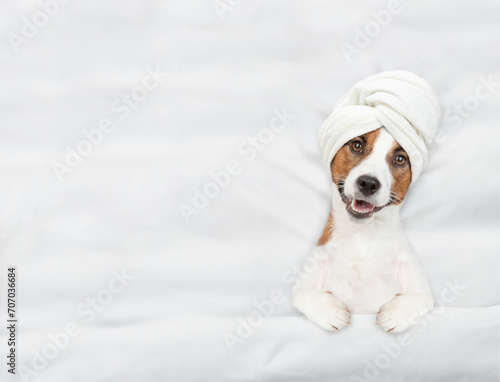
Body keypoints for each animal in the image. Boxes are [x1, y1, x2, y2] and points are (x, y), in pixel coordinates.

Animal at [292, 70, 442, 332]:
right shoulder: (312, 268)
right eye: (357, 145)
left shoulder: (413, 274)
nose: (369, 183)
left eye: (400, 158)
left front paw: (395, 315)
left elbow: (422, 298)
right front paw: (331, 312)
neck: (362, 239)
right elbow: (302, 295)